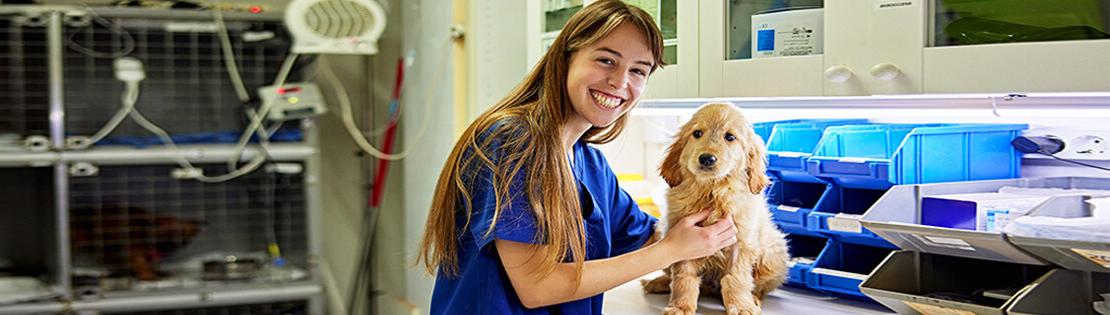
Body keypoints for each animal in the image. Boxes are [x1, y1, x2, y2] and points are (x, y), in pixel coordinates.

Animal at [73, 206, 202, 280]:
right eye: (167, 234)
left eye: (183, 240)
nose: (171, 247)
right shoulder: (134, 251)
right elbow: (140, 263)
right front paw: (147, 274)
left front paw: (155, 271)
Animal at [643, 103, 790, 315]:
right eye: (697, 133)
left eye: (730, 137)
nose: (706, 159)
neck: (712, 193)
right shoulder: (682, 241)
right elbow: (683, 278)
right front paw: (680, 306)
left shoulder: (740, 242)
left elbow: (736, 278)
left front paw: (742, 305)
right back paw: (657, 282)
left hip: (773, 255)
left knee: (760, 287)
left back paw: (753, 298)